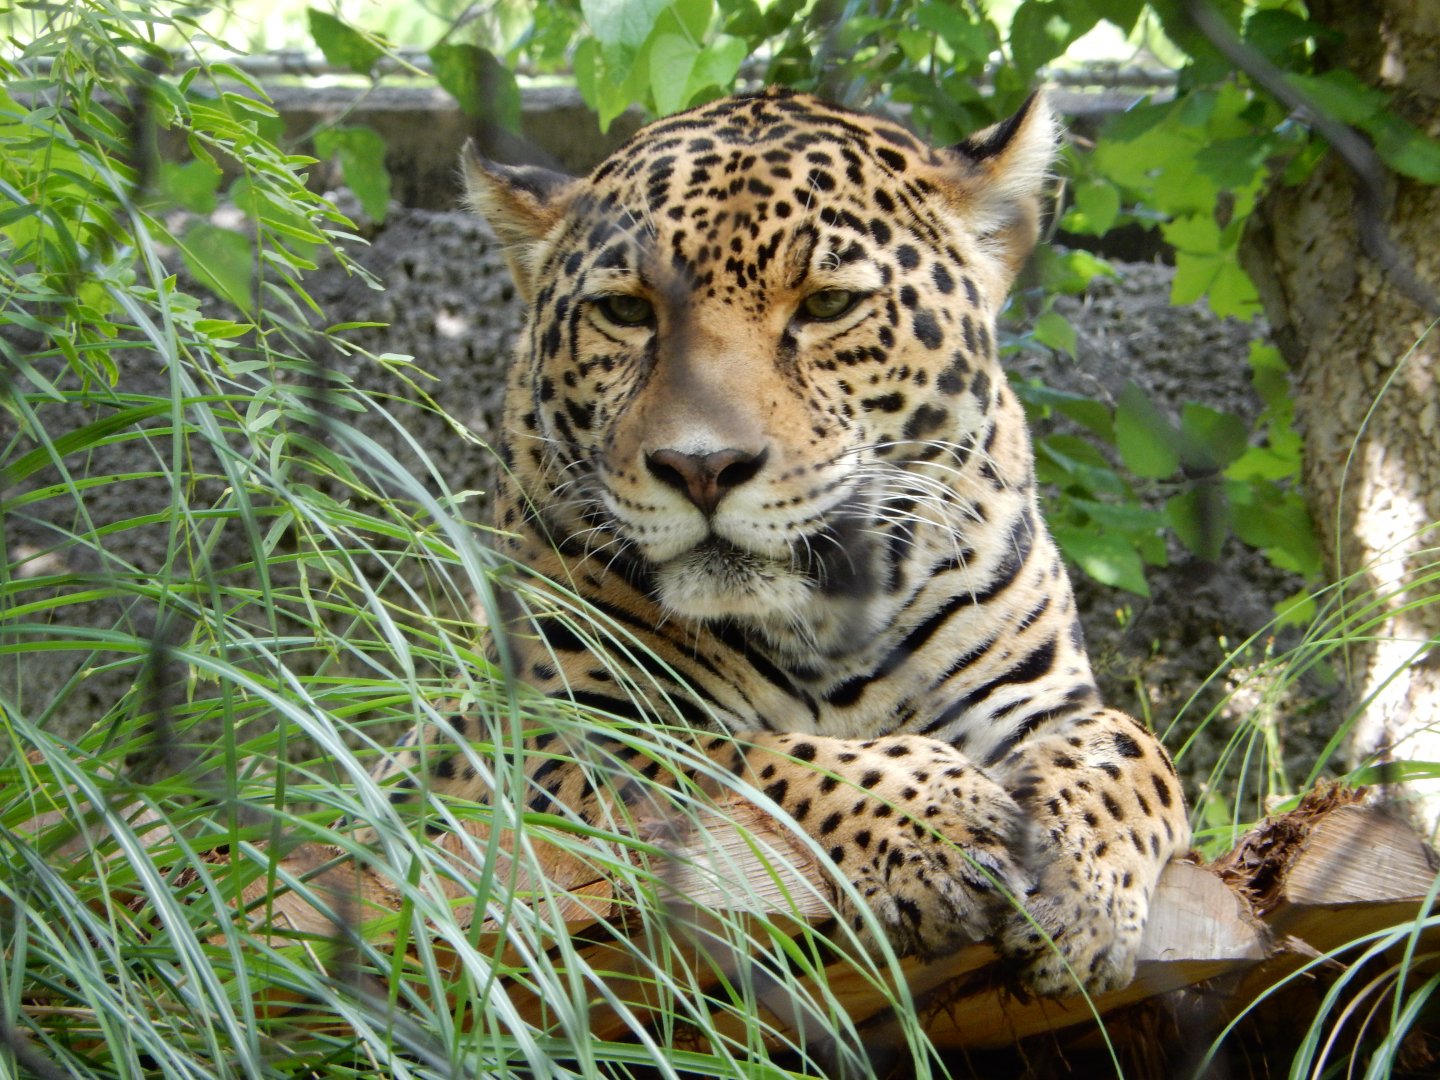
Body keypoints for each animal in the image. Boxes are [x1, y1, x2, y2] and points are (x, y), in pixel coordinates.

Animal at [381, 86, 1190, 997]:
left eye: (828, 305)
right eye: (626, 311)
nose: (702, 467)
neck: (827, 625)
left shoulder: (1036, 697)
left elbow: (1133, 750)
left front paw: (1080, 887)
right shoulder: (552, 730)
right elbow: (757, 756)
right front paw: (935, 825)